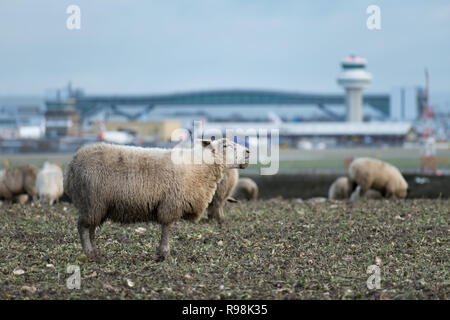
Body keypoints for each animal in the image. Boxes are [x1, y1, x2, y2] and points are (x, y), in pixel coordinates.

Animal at [64, 139, 250, 262]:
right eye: (225, 145)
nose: (248, 151)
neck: (199, 167)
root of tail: (73, 162)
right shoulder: (171, 204)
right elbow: (167, 228)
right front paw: (164, 253)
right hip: (91, 201)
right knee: (83, 228)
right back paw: (89, 253)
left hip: (96, 206)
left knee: (91, 229)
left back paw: (96, 253)